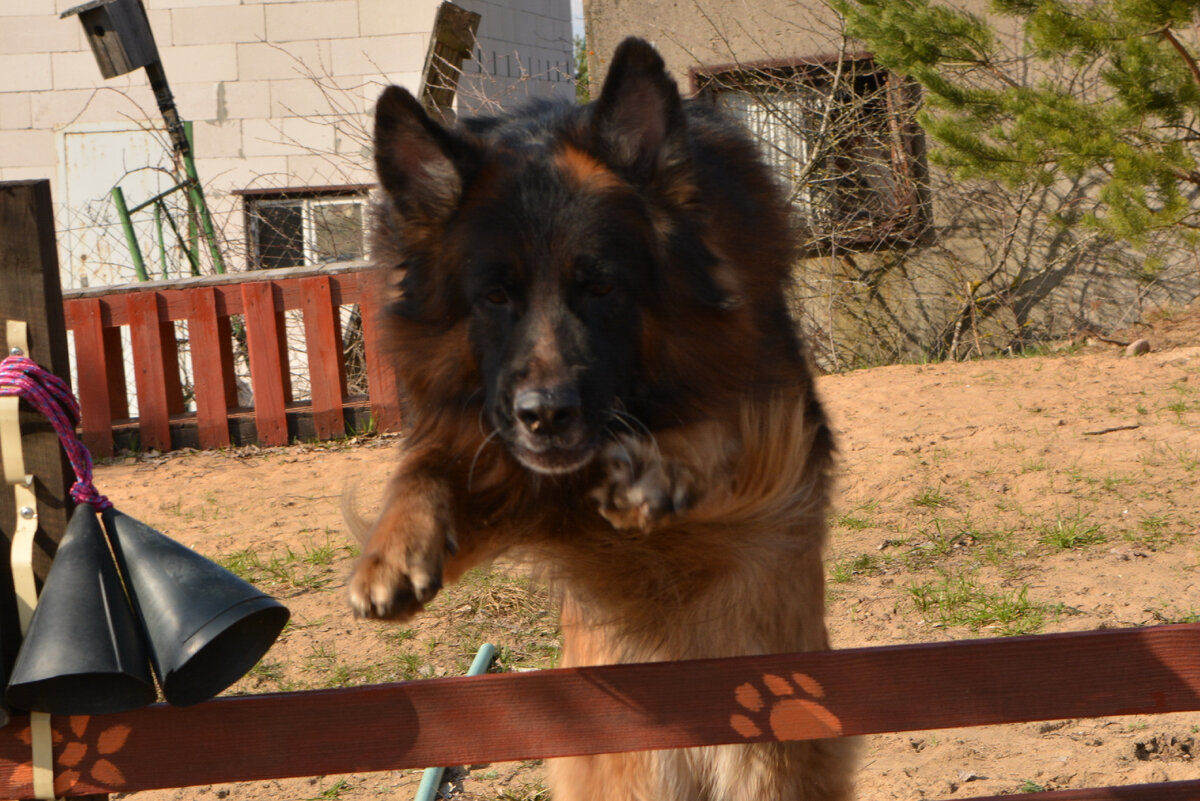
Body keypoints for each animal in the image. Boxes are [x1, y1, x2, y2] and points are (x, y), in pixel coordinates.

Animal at [345, 35, 854, 801]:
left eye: (602, 286)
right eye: (493, 296)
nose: (544, 417)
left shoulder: (781, 427)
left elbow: (722, 427)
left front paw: (658, 471)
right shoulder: (498, 464)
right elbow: (421, 467)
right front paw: (391, 552)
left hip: (773, 769)